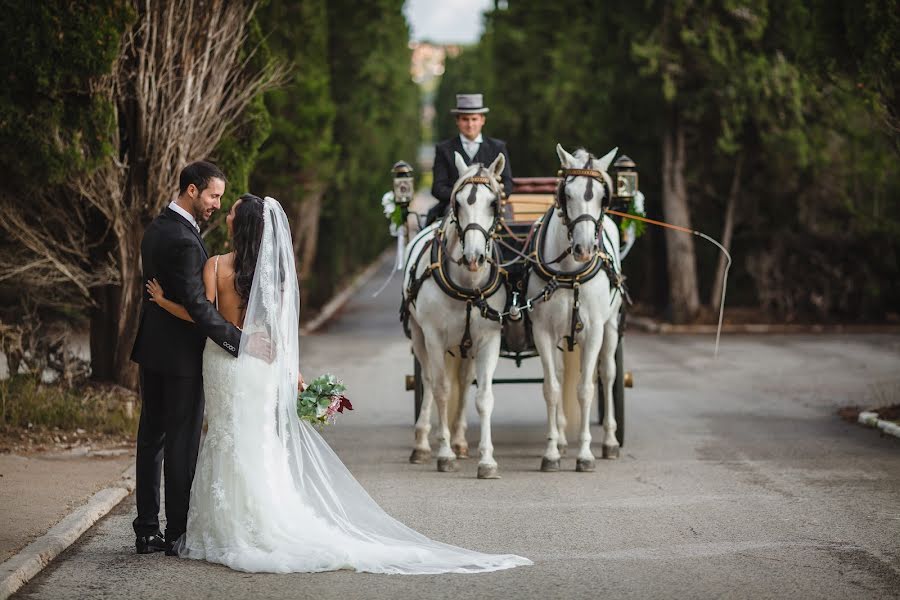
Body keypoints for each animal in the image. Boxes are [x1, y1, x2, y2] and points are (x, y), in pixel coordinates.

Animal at [404, 154, 510, 478]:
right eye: (458, 203)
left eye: (494, 203)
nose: (474, 258)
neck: (468, 284)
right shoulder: (435, 338)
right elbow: (441, 390)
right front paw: (444, 453)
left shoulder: (489, 339)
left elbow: (483, 397)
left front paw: (486, 460)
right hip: (419, 336)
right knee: (428, 380)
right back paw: (422, 444)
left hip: (467, 347)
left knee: (464, 384)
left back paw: (462, 441)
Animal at [528, 143, 624, 472]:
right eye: (566, 194)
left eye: (603, 196)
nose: (584, 250)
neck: (570, 272)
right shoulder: (543, 332)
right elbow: (552, 387)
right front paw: (551, 452)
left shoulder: (594, 330)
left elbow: (586, 388)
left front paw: (585, 454)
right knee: (559, 373)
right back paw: (560, 438)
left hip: (611, 326)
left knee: (607, 374)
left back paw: (610, 441)